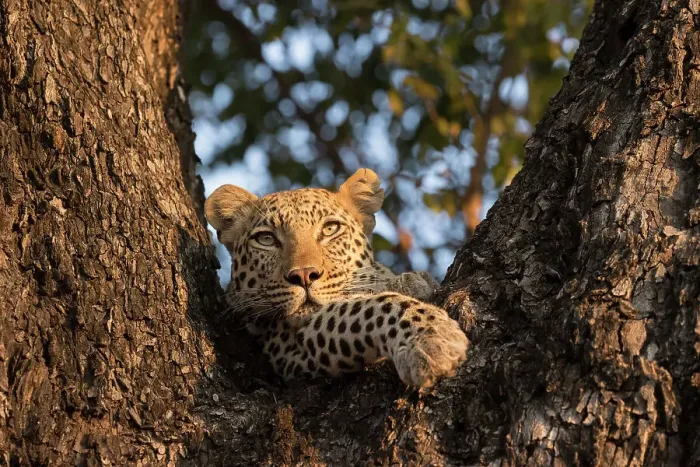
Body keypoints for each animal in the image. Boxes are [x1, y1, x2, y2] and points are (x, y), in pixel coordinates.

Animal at [205, 168, 468, 388]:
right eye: (266, 239)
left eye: (330, 229)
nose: (303, 275)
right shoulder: (289, 347)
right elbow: (364, 308)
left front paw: (410, 281)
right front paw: (430, 340)